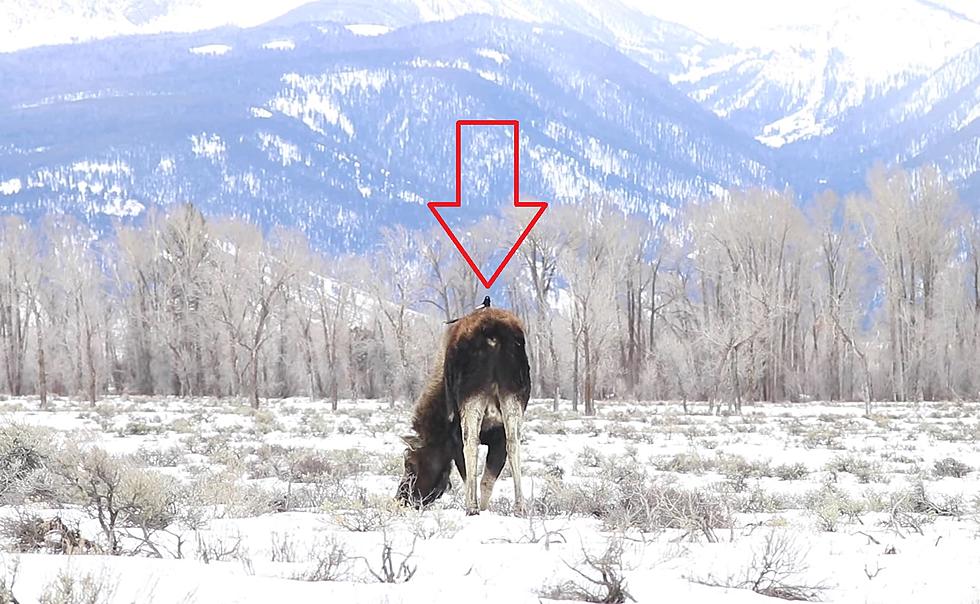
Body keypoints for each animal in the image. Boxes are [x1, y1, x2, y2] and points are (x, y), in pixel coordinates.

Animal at [396, 306, 528, 516]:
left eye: (409, 463)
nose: (401, 498)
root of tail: (494, 335)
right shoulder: (497, 436)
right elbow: (487, 479)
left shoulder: (454, 439)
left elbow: (469, 474)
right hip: (513, 395)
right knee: (513, 442)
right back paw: (519, 506)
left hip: (470, 397)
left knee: (471, 443)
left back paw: (471, 507)